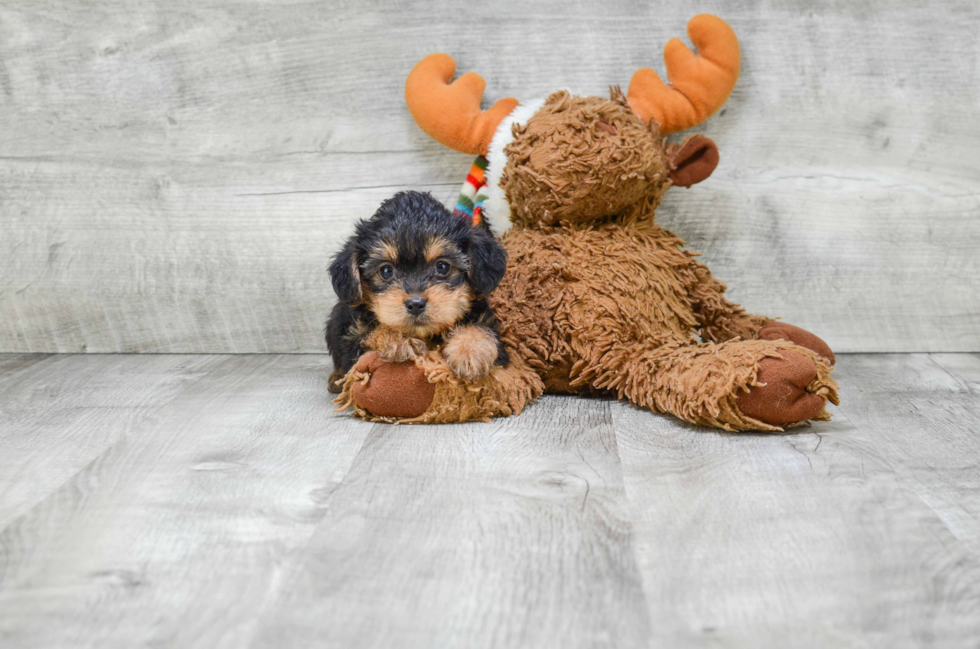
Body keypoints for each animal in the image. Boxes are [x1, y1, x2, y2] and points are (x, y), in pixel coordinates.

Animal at [330, 187, 510, 390]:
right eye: (386, 271)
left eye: (442, 267)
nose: (415, 304)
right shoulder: (352, 340)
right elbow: (368, 334)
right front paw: (398, 339)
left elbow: (481, 328)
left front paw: (470, 351)